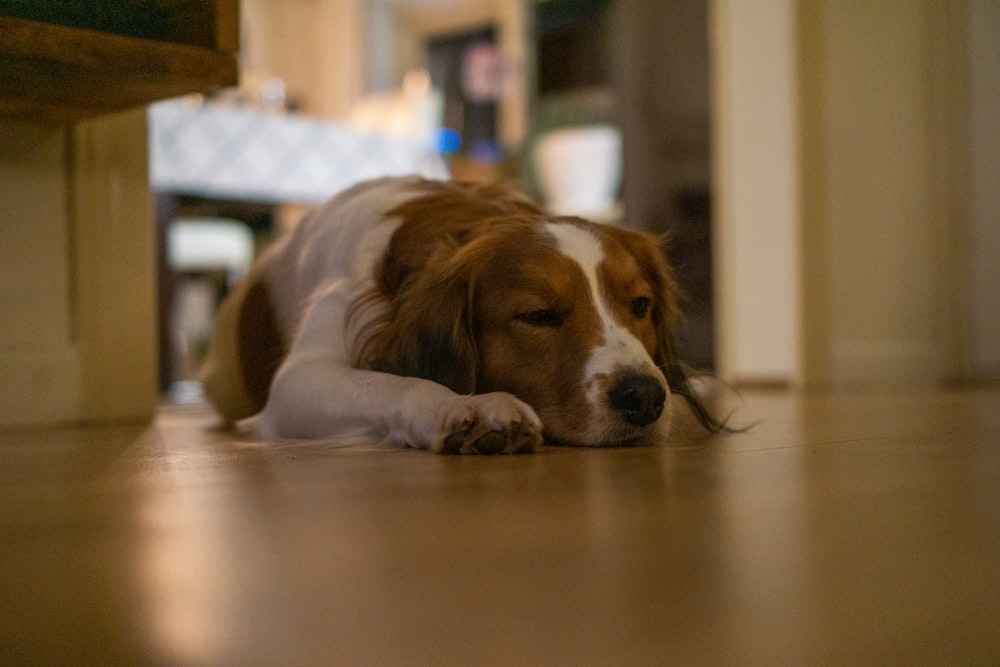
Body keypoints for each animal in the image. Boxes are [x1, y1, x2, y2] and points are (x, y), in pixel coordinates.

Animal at [199, 176, 724, 454]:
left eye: (639, 305)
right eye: (539, 315)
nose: (645, 398)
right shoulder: (298, 381)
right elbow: (397, 383)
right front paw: (462, 406)